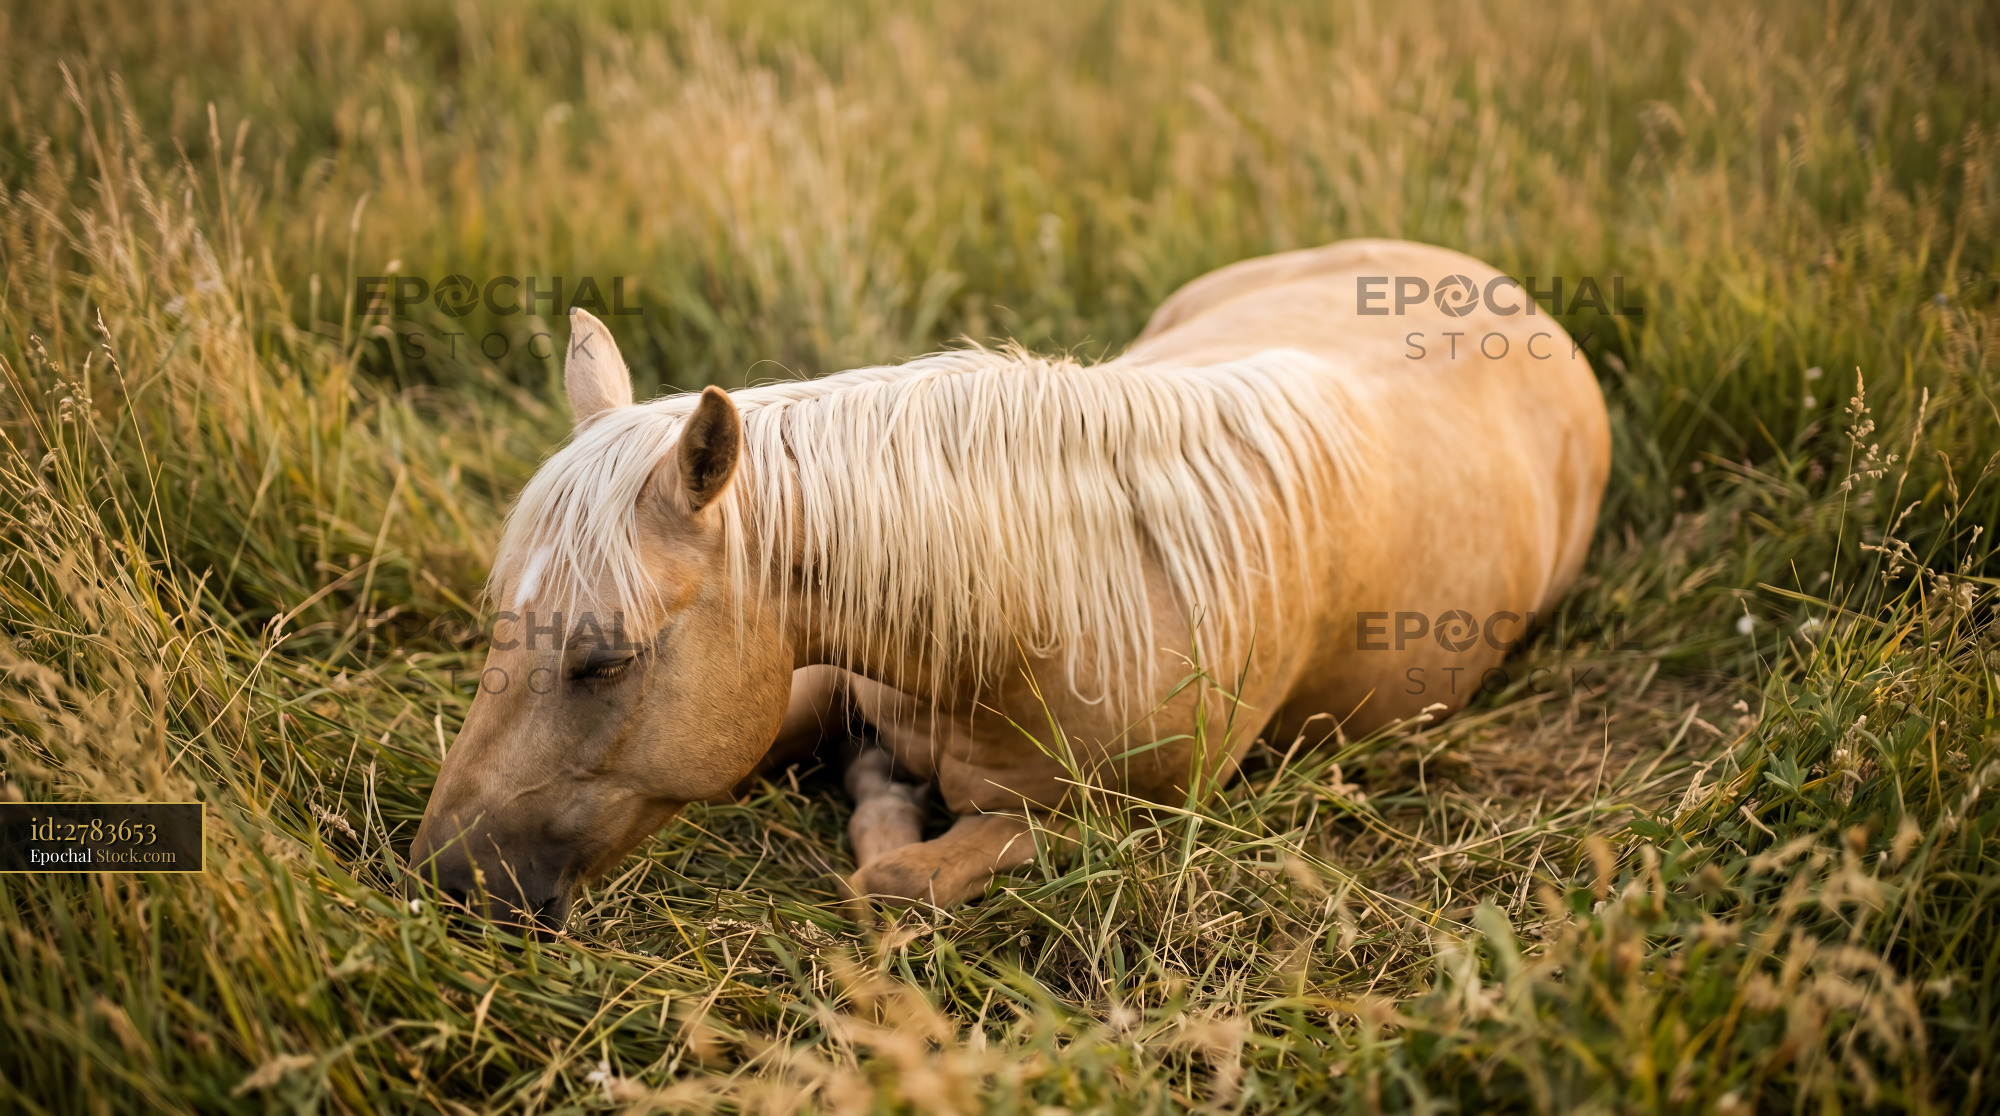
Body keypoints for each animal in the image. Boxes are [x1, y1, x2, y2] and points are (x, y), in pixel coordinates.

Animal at [407, 239, 1609, 922]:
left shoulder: (1127, 821)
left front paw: (887, 818)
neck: (1047, 617)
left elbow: (900, 876)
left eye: (603, 659)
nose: (443, 881)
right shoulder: (800, 670)